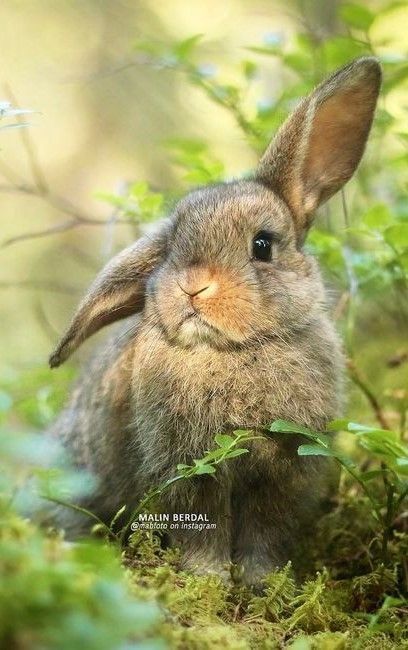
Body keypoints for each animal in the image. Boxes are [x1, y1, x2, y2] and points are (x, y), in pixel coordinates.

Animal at [47, 57, 381, 588]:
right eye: (173, 246)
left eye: (262, 245)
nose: (192, 286)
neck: (230, 352)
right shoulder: (187, 472)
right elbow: (203, 532)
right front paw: (209, 581)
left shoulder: (283, 472)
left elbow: (265, 533)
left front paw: (262, 582)